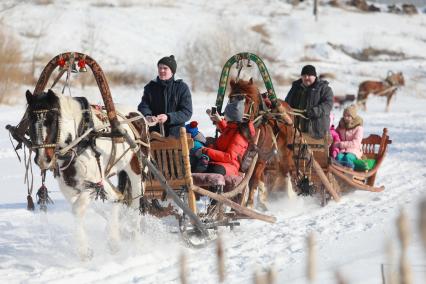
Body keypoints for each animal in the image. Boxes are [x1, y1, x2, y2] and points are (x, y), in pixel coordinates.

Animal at [25, 89, 148, 260]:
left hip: (137, 173)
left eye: (52, 120)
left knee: (137, 204)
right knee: (117, 197)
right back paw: (115, 238)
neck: (80, 138)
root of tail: (137, 114)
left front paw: (83, 251)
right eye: (30, 120)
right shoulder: (70, 185)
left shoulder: (92, 184)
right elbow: (81, 208)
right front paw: (91, 247)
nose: (43, 159)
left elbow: (77, 209)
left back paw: (135, 243)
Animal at [228, 79, 294, 210]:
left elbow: (253, 180)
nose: (235, 119)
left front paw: (249, 205)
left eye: (247, 101)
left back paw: (289, 196)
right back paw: (263, 200)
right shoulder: (244, 158)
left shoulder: (261, 158)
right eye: (231, 99)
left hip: (285, 152)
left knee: (286, 171)